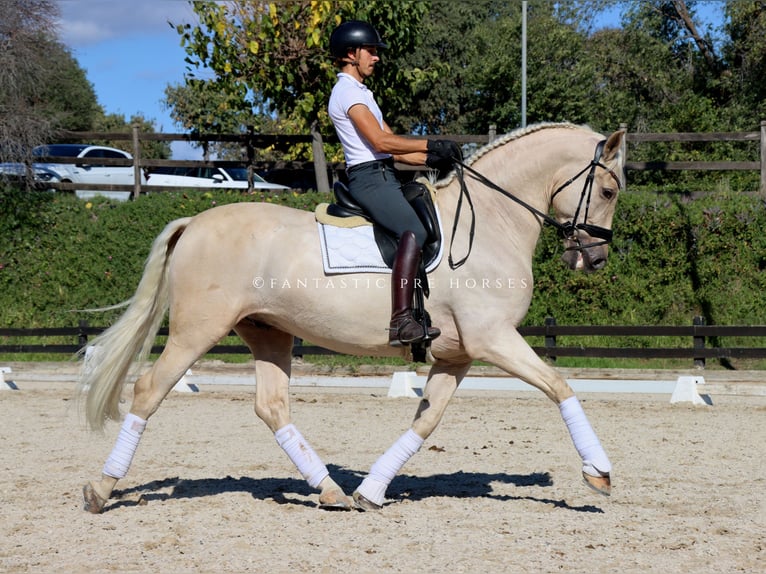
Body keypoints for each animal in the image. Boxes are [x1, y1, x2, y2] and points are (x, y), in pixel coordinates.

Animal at [79, 122, 626, 513]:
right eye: (607, 191)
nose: (595, 260)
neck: (491, 221)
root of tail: (194, 221)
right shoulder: (493, 338)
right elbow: (559, 386)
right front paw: (598, 473)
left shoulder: (460, 353)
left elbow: (427, 420)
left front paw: (371, 489)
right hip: (197, 330)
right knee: (149, 390)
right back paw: (101, 490)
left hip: (268, 333)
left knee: (272, 406)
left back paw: (330, 491)